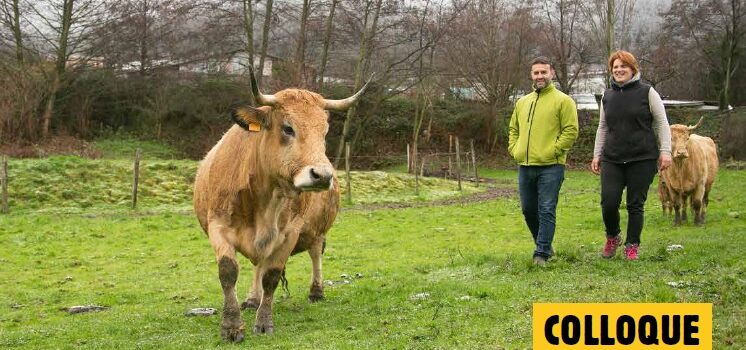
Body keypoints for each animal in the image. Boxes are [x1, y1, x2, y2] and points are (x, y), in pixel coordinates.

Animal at [192, 68, 366, 342]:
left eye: (324, 132)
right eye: (288, 128)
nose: (322, 176)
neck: (265, 199)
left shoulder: (289, 233)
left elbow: (272, 275)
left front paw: (264, 322)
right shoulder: (217, 226)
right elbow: (228, 272)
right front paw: (231, 326)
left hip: (317, 230)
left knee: (314, 253)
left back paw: (316, 291)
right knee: (258, 264)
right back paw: (252, 299)